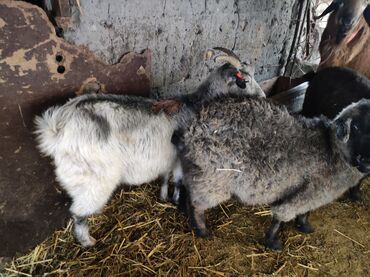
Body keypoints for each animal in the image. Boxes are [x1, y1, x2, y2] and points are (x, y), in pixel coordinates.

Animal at [34, 47, 264, 246]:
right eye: (245, 80)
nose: (262, 97)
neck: (195, 106)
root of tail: (57, 128)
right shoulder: (181, 158)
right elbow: (178, 181)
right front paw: (175, 200)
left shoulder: (167, 158)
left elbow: (164, 177)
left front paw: (162, 196)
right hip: (94, 181)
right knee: (78, 213)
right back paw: (88, 242)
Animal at [178, 96, 368, 249]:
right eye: (356, 128)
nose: (366, 164)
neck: (332, 150)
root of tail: (192, 123)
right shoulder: (306, 193)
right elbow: (281, 215)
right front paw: (272, 241)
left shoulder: (310, 195)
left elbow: (304, 212)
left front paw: (304, 226)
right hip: (214, 177)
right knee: (197, 203)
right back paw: (202, 230)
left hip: (197, 170)